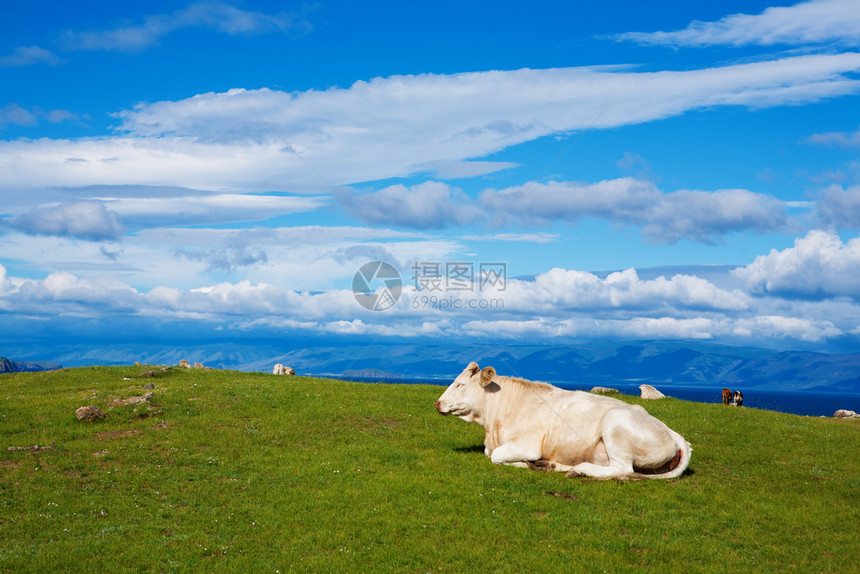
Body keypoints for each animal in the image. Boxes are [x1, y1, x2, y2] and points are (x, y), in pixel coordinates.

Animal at [436, 364, 692, 482]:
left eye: (460, 384)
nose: (438, 403)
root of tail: (673, 433)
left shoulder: (527, 445)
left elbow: (496, 457)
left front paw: (525, 463)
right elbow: (491, 454)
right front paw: (536, 464)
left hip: (615, 425)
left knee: (621, 469)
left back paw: (579, 469)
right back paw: (552, 465)